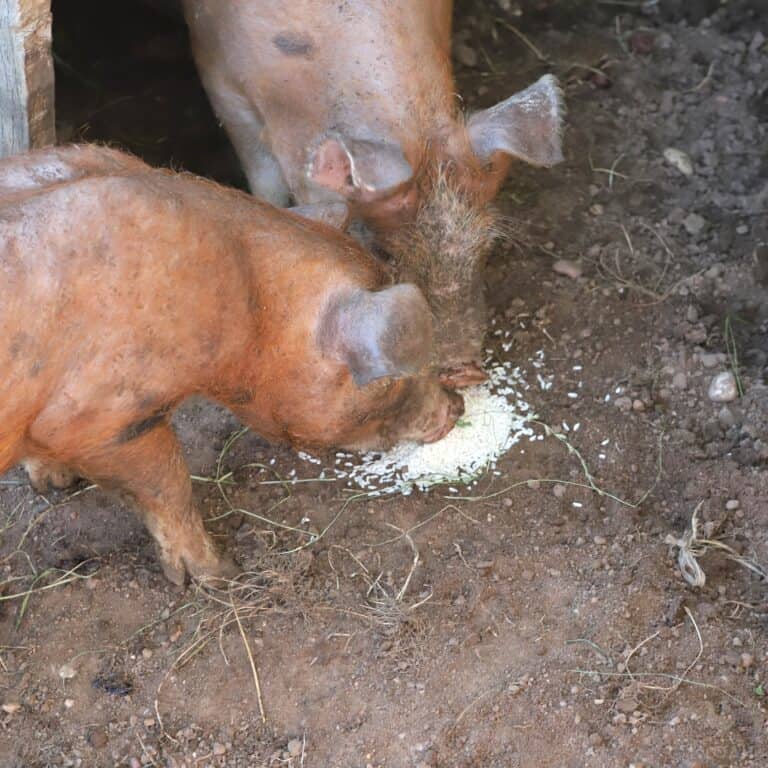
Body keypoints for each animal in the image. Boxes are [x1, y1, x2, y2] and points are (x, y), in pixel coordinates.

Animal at [0, 145, 463, 585]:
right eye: (391, 379)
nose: (457, 407)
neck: (249, 307)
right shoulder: (102, 419)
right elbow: (168, 485)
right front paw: (221, 574)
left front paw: (56, 482)